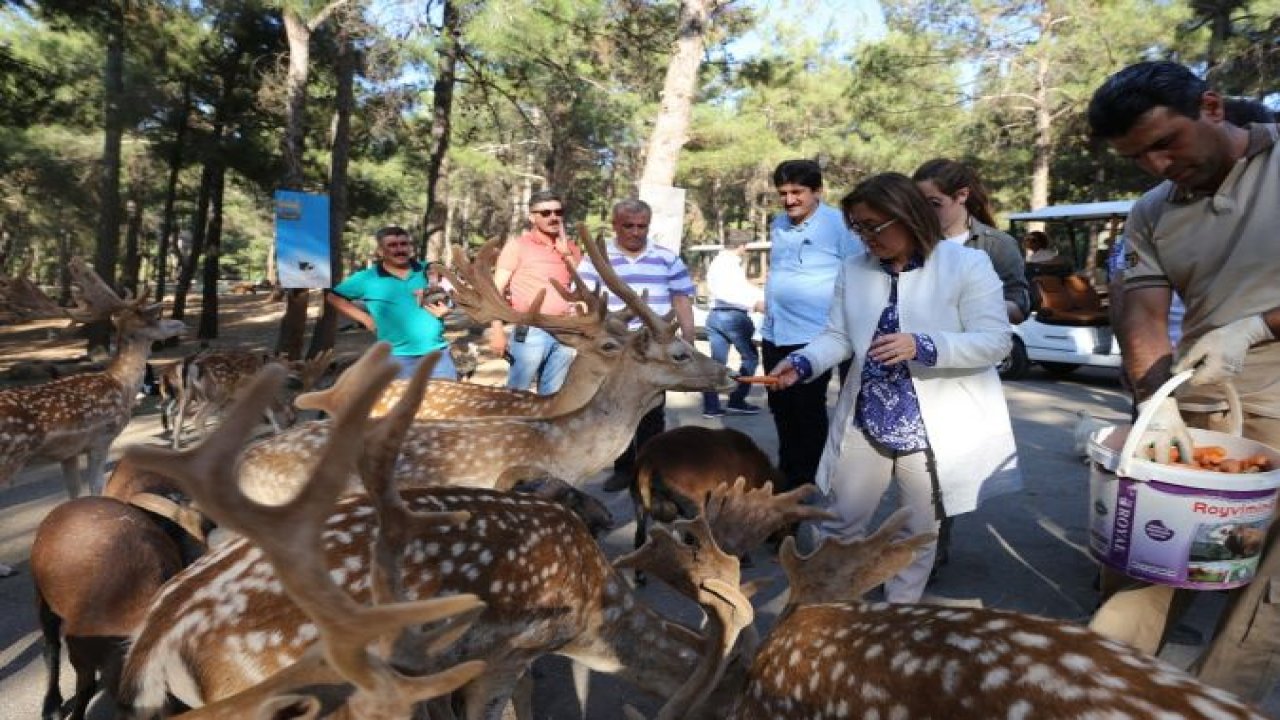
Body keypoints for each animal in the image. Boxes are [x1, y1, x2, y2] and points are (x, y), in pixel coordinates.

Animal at [0, 258, 185, 499]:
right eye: (153, 319)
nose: (181, 324)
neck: (123, 385)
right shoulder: (101, 439)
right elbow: (96, 487)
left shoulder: (68, 452)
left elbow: (74, 492)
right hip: (7, 462)